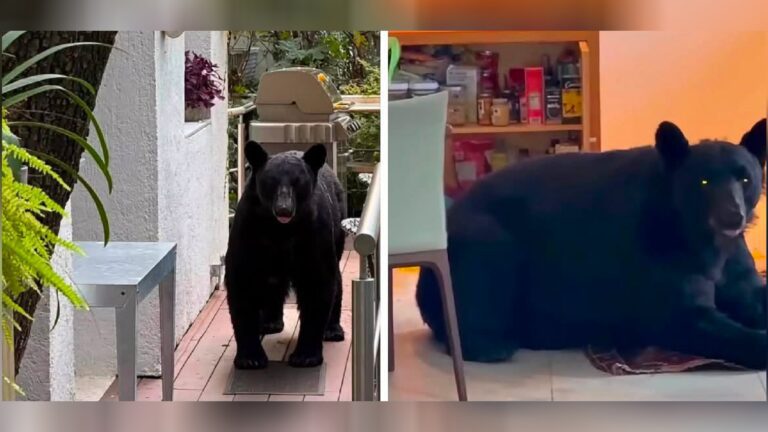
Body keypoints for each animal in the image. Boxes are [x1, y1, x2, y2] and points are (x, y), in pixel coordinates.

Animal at [225, 141, 346, 369]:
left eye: (298, 182)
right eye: (271, 182)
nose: (283, 210)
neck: (280, 231)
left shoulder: (313, 232)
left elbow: (317, 282)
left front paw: (306, 356)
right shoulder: (248, 230)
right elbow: (242, 282)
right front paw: (250, 358)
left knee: (336, 278)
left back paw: (332, 329)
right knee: (272, 282)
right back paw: (270, 322)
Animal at [417, 119, 767, 369]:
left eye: (745, 178)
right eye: (703, 182)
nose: (732, 216)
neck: (697, 234)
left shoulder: (735, 263)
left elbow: (750, 291)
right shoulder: (661, 261)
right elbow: (687, 316)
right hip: (489, 240)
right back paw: (492, 344)